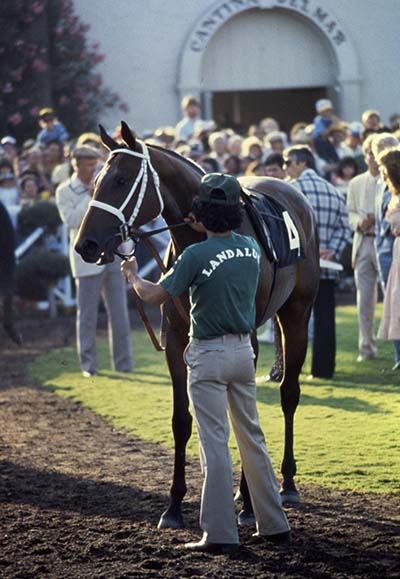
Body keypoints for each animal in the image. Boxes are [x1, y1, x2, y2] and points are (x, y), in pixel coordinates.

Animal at [74, 122, 318, 532]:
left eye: (121, 180)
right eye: (94, 182)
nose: (85, 245)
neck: (206, 233)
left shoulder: (246, 339)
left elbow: (243, 418)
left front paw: (248, 504)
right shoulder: (176, 341)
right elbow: (182, 421)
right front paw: (174, 504)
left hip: (297, 315)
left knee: (289, 394)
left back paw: (286, 483)